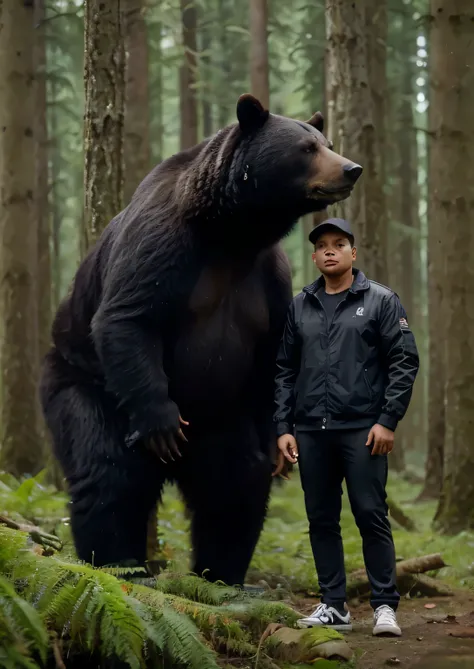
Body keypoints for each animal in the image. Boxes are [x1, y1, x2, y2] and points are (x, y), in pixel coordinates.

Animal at [39, 94, 362, 584]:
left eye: (326, 142)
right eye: (307, 148)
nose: (350, 168)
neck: (232, 230)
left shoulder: (269, 278)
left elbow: (273, 356)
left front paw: (281, 451)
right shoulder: (165, 242)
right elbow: (129, 316)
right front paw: (161, 421)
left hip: (223, 417)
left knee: (233, 486)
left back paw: (219, 572)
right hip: (83, 381)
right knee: (107, 470)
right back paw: (119, 562)